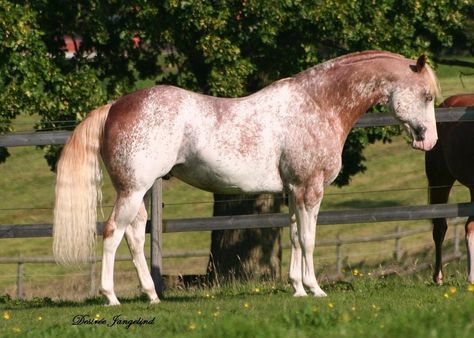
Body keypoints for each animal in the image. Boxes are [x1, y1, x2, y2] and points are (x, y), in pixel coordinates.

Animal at [52, 50, 440, 306]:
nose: (429, 141)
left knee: (133, 235)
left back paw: (151, 295)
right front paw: (315, 289)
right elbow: (310, 240)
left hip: (139, 191)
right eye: (426, 95)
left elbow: (295, 237)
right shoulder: (310, 189)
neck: (318, 105)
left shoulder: (293, 192)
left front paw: (297, 288)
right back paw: (111, 297)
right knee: (112, 233)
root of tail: (115, 106)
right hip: (132, 190)